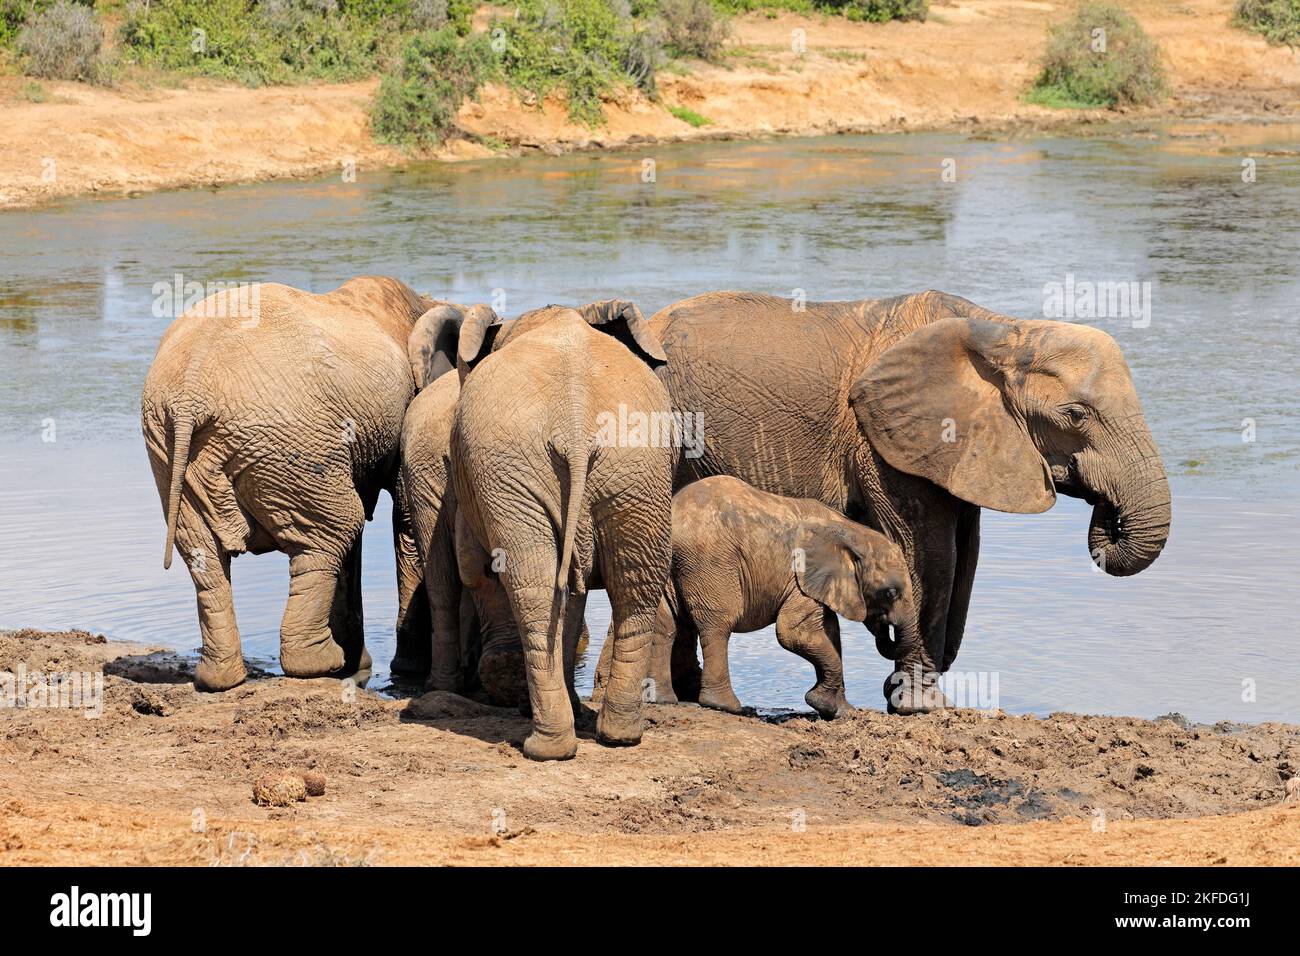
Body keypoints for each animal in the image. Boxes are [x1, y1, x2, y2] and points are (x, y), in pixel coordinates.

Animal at [141, 274, 465, 686]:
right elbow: (404, 521)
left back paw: (220, 679)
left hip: (169, 453)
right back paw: (319, 664)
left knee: (202, 553)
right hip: (287, 438)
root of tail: (189, 396)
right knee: (337, 526)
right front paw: (404, 670)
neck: (426, 304)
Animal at [452, 303, 681, 759]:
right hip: (634, 467)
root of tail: (574, 423)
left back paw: (545, 744)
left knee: (535, 585)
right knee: (635, 579)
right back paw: (617, 735)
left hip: (519, 466)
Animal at [608, 476, 915, 723]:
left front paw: (843, 711)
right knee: (717, 624)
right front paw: (823, 705)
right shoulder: (799, 579)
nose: (889, 684)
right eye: (890, 593)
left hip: (663, 564)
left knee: (665, 625)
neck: (853, 531)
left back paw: (663, 700)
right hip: (709, 562)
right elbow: (793, 632)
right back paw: (727, 707)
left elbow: (830, 632)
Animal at [644, 290, 1175, 712]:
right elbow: (930, 553)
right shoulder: (885, 441)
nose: (1103, 506)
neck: (1004, 331)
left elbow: (965, 555)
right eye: (1076, 415)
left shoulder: (960, 447)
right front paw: (920, 705)